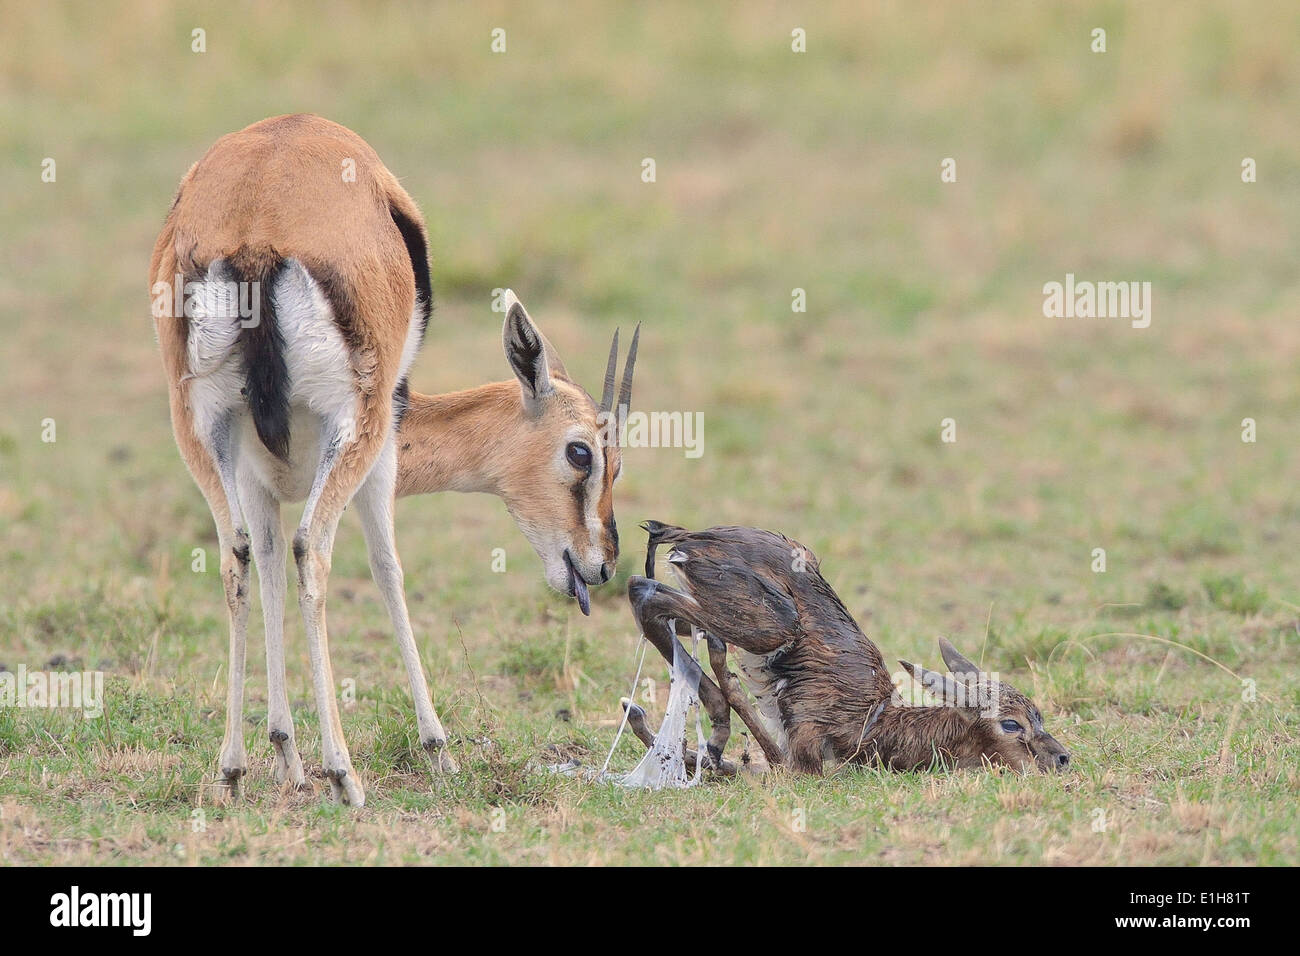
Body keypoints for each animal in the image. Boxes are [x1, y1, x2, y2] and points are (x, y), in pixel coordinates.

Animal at [150, 114, 638, 806]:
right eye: (582, 453)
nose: (601, 566)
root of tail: (257, 220)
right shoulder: (380, 460)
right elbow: (388, 571)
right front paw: (438, 750)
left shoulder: (253, 475)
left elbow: (266, 567)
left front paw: (283, 754)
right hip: (358, 428)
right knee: (313, 549)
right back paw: (344, 774)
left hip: (197, 429)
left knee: (236, 557)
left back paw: (232, 770)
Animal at [622, 522, 1069, 775]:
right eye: (1011, 724)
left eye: (1039, 715)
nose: (1062, 758)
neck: (877, 723)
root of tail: (691, 535)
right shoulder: (804, 760)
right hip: (768, 628)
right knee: (642, 591)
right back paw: (712, 731)